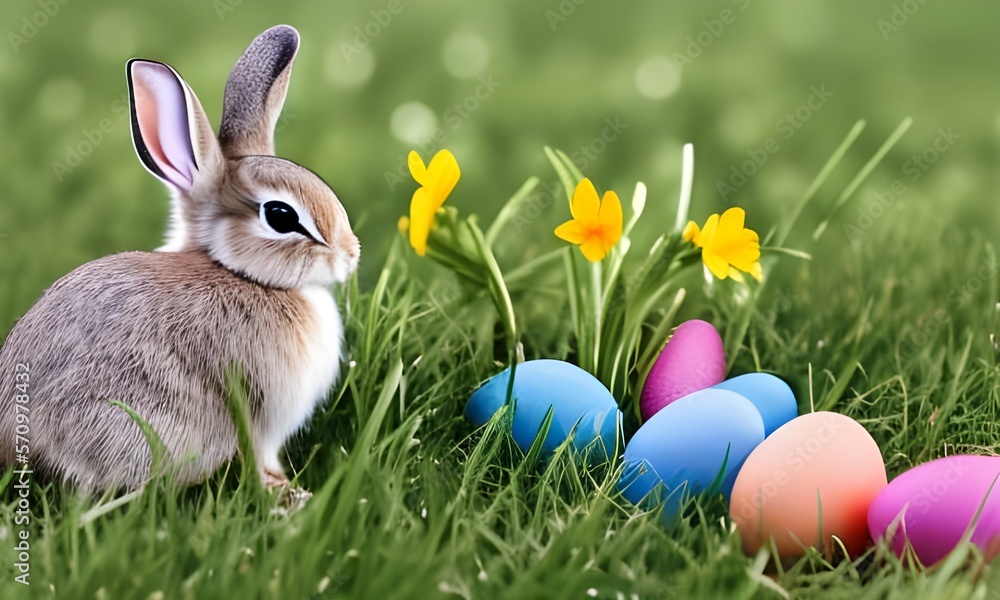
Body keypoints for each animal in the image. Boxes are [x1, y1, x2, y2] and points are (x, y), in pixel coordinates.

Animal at [0, 24, 359, 493]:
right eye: (281, 216)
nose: (351, 256)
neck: (239, 274)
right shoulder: (262, 413)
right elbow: (261, 455)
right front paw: (285, 491)